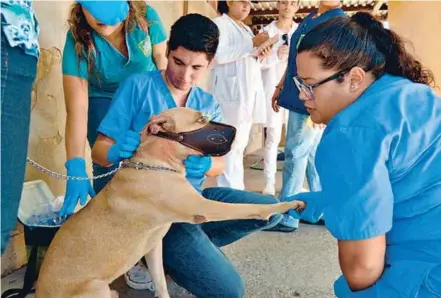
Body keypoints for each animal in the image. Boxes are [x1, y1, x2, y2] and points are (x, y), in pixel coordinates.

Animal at [36, 107, 304, 298]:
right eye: (200, 119)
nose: (236, 131)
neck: (155, 164)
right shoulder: (204, 208)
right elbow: (249, 208)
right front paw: (284, 206)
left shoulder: (154, 247)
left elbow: (161, 284)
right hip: (95, 288)